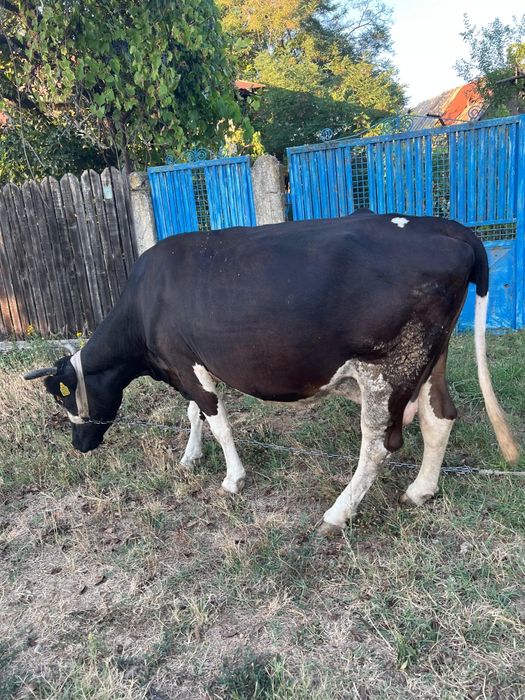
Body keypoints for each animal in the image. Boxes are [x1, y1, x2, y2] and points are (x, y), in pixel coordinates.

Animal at [24, 212, 518, 534]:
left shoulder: (185, 362)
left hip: (387, 369)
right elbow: (194, 413)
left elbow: (216, 420)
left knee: (380, 444)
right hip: (429, 358)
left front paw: (232, 479)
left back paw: (338, 513)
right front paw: (190, 457)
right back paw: (420, 491)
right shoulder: (187, 364)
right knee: (440, 418)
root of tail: (446, 227)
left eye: (63, 396)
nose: (79, 445)